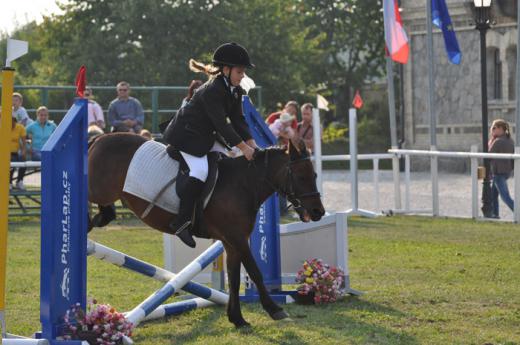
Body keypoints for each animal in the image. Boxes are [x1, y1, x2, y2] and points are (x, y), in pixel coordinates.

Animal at [89, 132, 324, 328]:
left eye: (314, 175)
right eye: (301, 176)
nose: (318, 212)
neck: (243, 184)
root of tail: (100, 139)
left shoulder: (231, 242)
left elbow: (235, 278)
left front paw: (237, 319)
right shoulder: (237, 238)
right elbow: (255, 272)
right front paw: (274, 309)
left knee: (103, 213)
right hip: (98, 190)